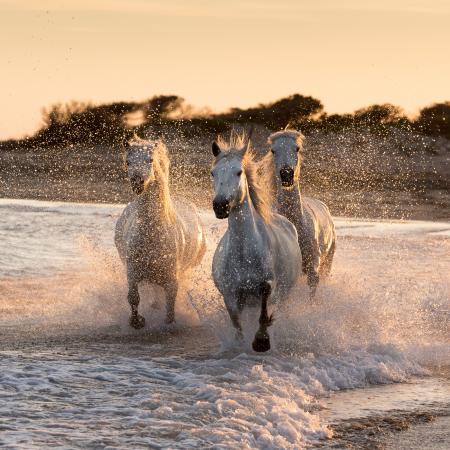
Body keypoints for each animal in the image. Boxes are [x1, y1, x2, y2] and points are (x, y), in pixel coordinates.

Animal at [114, 135, 206, 328]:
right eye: (128, 161)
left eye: (150, 160)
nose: (137, 183)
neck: (153, 234)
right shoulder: (133, 272)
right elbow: (133, 297)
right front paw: (137, 322)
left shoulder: (172, 280)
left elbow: (170, 308)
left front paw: (168, 322)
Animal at [211, 134, 302, 352]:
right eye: (213, 173)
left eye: (238, 172)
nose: (220, 206)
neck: (244, 253)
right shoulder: (231, 295)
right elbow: (237, 324)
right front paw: (240, 343)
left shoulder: (268, 286)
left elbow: (264, 311)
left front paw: (262, 341)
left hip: (285, 294)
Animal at [266, 130, 336, 298]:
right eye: (273, 150)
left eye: (297, 148)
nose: (286, 174)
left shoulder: (313, 269)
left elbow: (311, 294)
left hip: (328, 262)